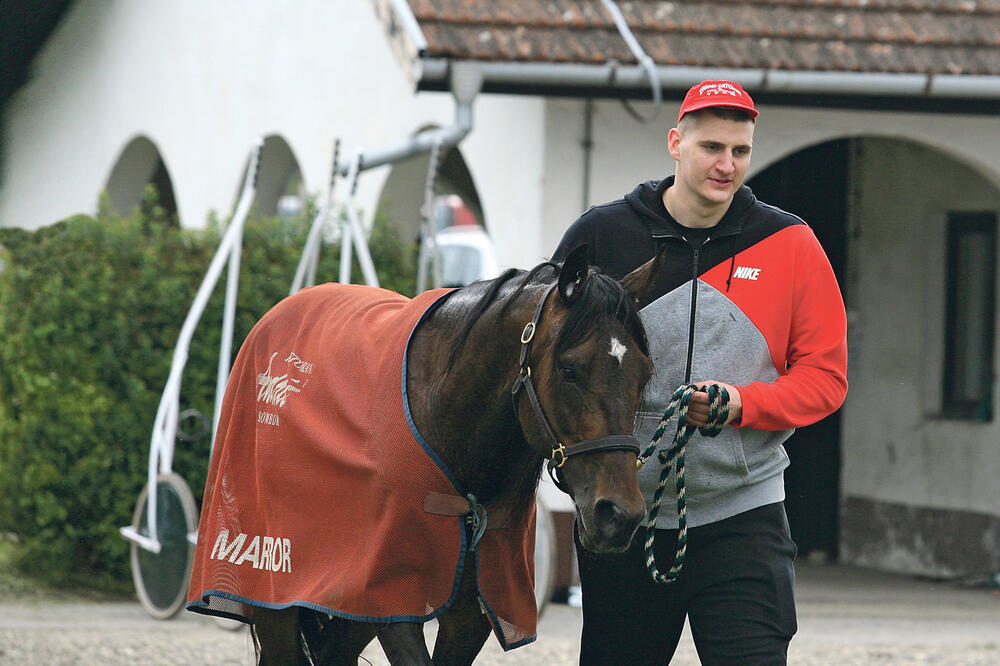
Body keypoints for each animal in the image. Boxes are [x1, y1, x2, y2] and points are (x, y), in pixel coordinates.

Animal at [189, 241, 664, 660]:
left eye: (643, 374)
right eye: (569, 370)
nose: (619, 514)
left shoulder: (468, 610)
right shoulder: (394, 601)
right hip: (274, 586)